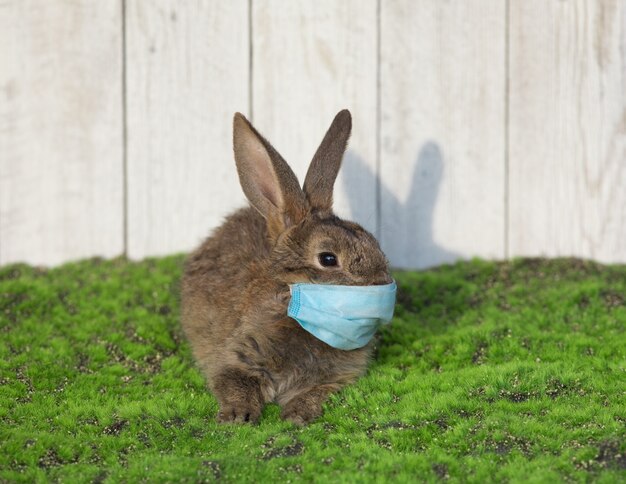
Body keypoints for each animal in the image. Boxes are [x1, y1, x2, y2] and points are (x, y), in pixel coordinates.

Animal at [180, 108, 392, 424]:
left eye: (373, 242)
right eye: (328, 258)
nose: (381, 282)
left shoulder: (334, 376)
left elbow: (315, 392)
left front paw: (297, 414)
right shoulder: (234, 354)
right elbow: (234, 382)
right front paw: (238, 415)